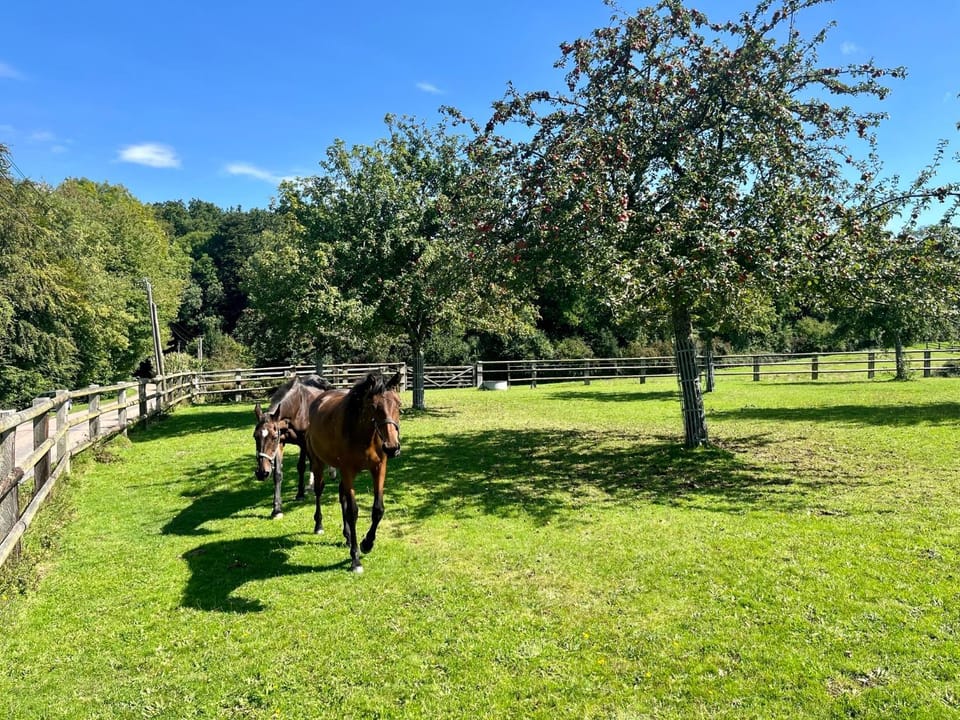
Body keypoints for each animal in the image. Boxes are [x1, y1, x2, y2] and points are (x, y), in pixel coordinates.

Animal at [253, 374, 334, 518]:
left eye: (273, 437)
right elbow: (278, 474)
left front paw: (300, 494)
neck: (297, 408)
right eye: (255, 436)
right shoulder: (280, 444)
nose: (262, 473)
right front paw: (277, 509)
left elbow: (301, 466)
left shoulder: (303, 441)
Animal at [303, 370, 402, 573]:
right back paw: (319, 525)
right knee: (319, 490)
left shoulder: (379, 468)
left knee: (342, 495)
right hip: (318, 463)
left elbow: (377, 509)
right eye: (374, 407)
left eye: (399, 405)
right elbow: (353, 511)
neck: (364, 436)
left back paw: (348, 536)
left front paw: (367, 543)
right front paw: (355, 559)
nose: (392, 447)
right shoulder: (348, 471)